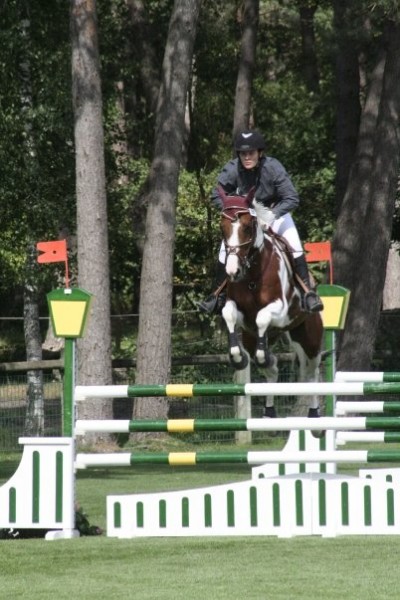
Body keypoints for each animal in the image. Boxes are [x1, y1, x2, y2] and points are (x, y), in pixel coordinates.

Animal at [219, 186, 324, 418]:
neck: (252, 274)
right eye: (222, 228)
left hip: (309, 338)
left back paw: (314, 415)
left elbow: (262, 316)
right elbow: (228, 314)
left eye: (248, 227)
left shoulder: (281, 311)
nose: (232, 271)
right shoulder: (240, 313)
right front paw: (238, 358)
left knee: (311, 372)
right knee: (272, 369)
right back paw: (269, 410)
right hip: (252, 338)